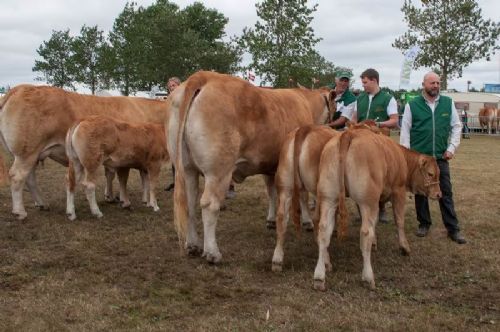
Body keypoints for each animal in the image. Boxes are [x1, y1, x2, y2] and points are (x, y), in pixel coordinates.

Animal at [0, 85, 169, 220]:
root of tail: (18, 89)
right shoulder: (127, 158)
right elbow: (124, 179)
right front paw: (128, 201)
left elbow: (116, 175)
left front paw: (113, 196)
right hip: (26, 153)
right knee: (17, 177)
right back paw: (20, 212)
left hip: (34, 155)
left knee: (30, 179)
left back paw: (42, 204)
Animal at [170, 71, 338, 264]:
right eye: (335, 105)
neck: (306, 102)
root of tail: (204, 76)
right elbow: (302, 195)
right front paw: (307, 222)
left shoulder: (269, 163)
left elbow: (271, 192)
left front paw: (271, 220)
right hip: (218, 171)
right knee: (209, 205)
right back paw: (212, 253)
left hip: (187, 168)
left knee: (190, 203)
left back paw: (192, 245)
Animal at [312, 128, 442, 290]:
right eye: (430, 174)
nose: (439, 194)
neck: (400, 157)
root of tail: (350, 134)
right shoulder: (398, 191)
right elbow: (399, 221)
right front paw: (404, 247)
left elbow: (374, 223)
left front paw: (375, 242)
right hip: (368, 201)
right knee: (365, 232)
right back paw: (368, 277)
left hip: (329, 197)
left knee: (324, 230)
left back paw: (320, 276)